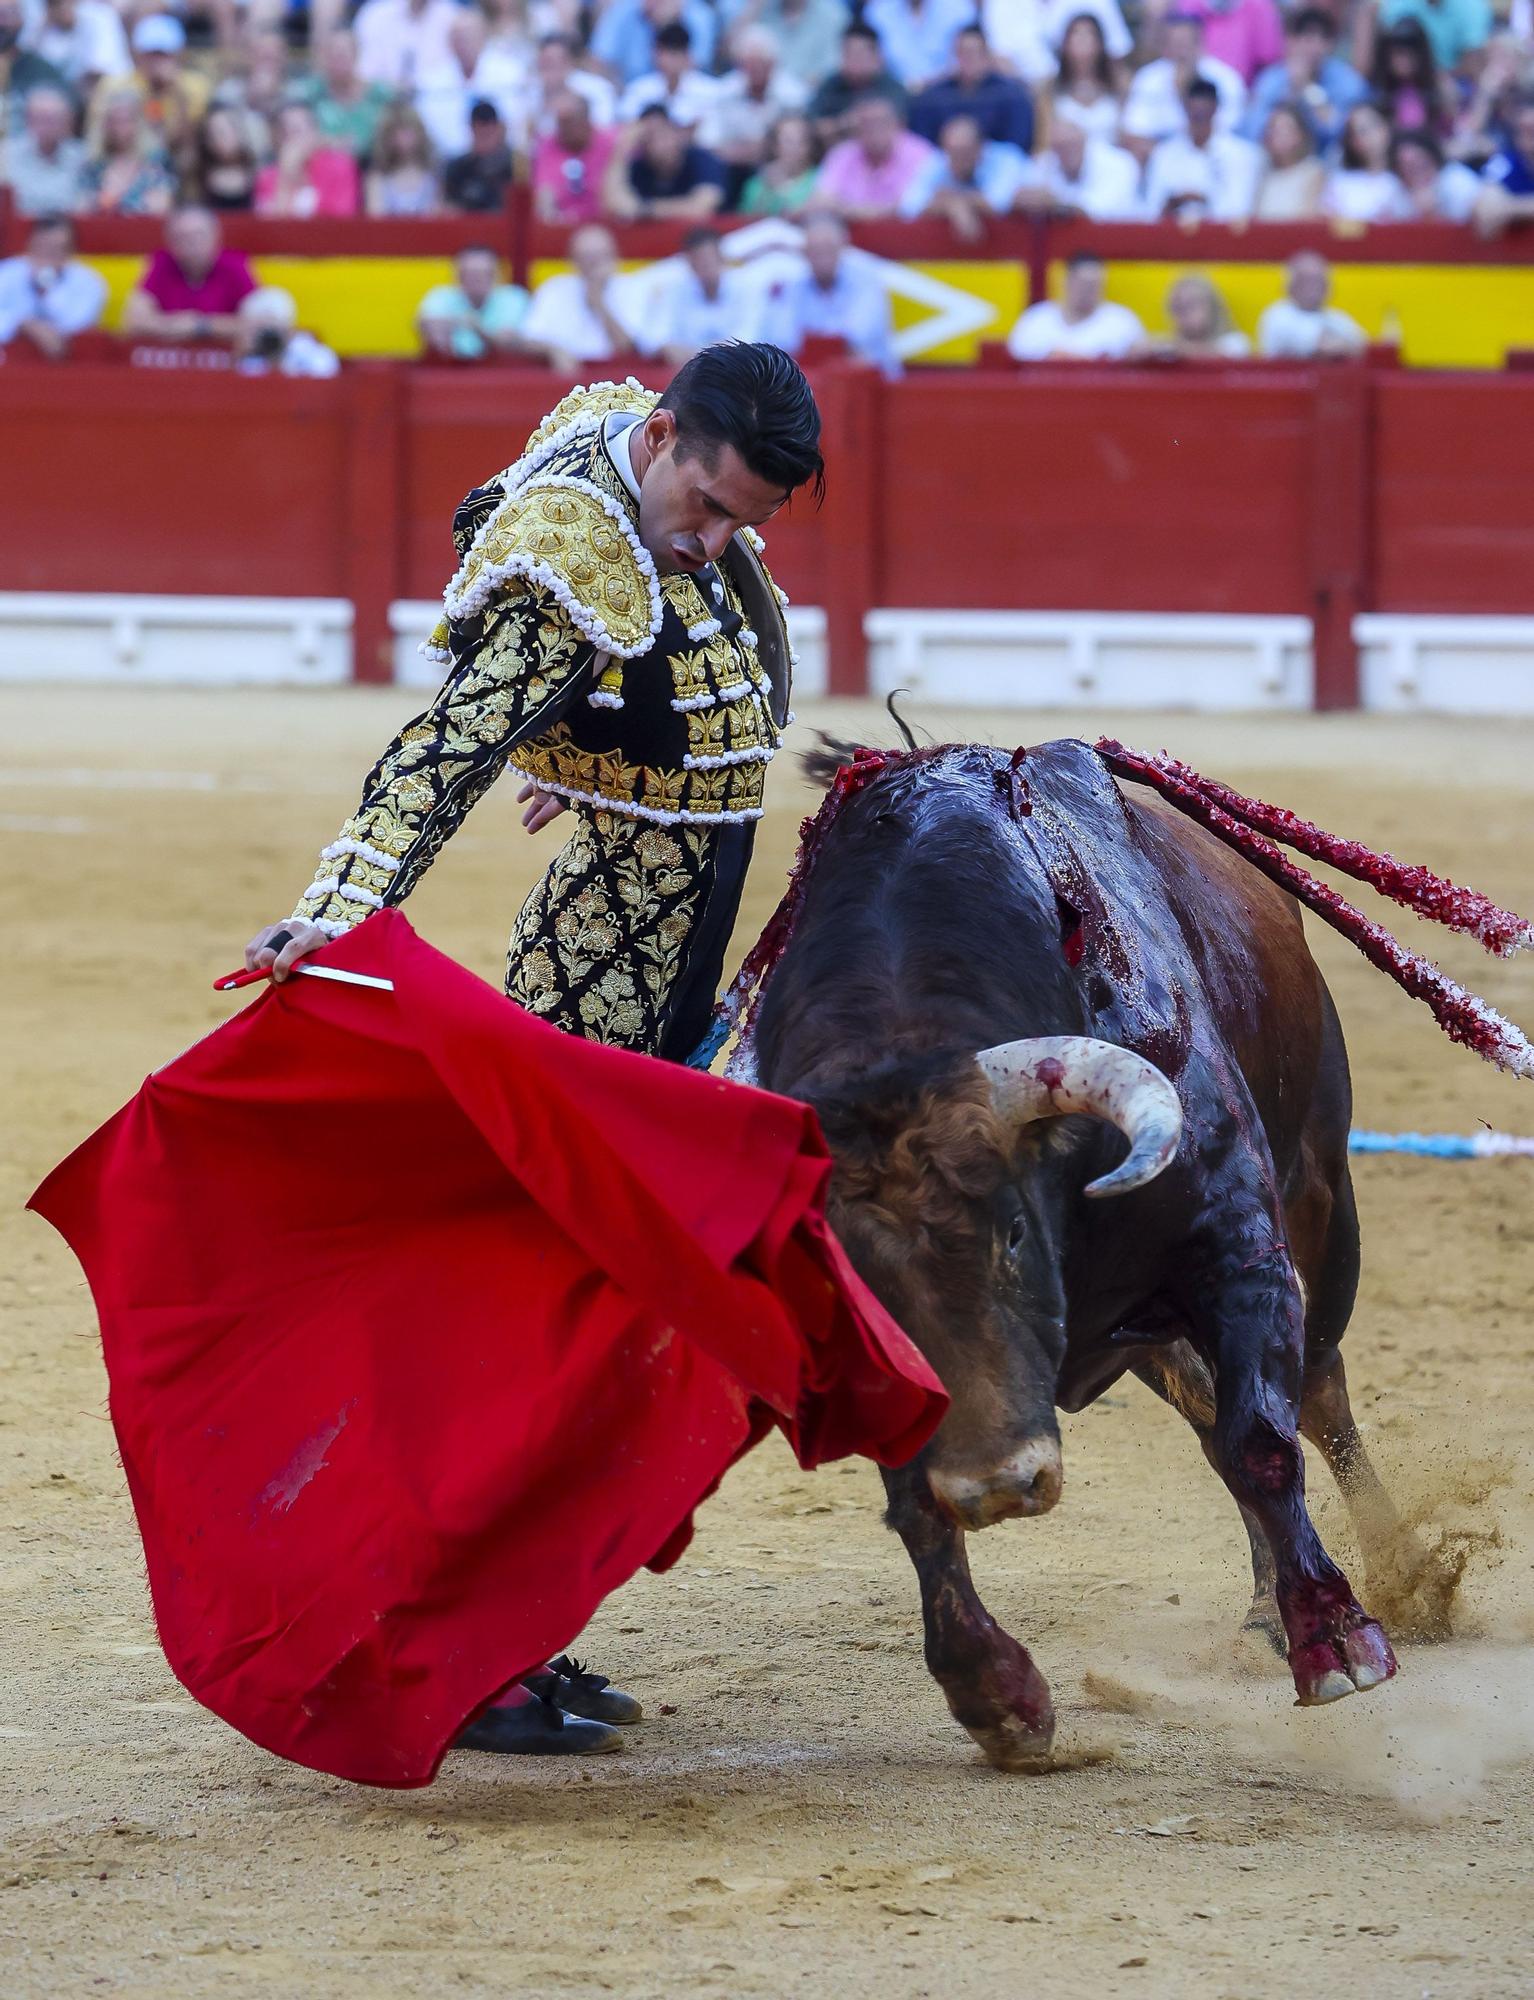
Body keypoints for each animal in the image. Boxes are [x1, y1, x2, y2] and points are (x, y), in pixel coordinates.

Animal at [752, 736, 1440, 1768]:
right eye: (855, 1287)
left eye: (1015, 1231)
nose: (997, 1486)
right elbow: (916, 1499)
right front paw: (995, 1695)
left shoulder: (1238, 1252)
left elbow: (1264, 1440)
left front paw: (1338, 1639)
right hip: (1154, 1332)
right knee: (1212, 1413)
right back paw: (1263, 1612)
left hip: (1323, 1206)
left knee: (1315, 1399)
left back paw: (1399, 1580)